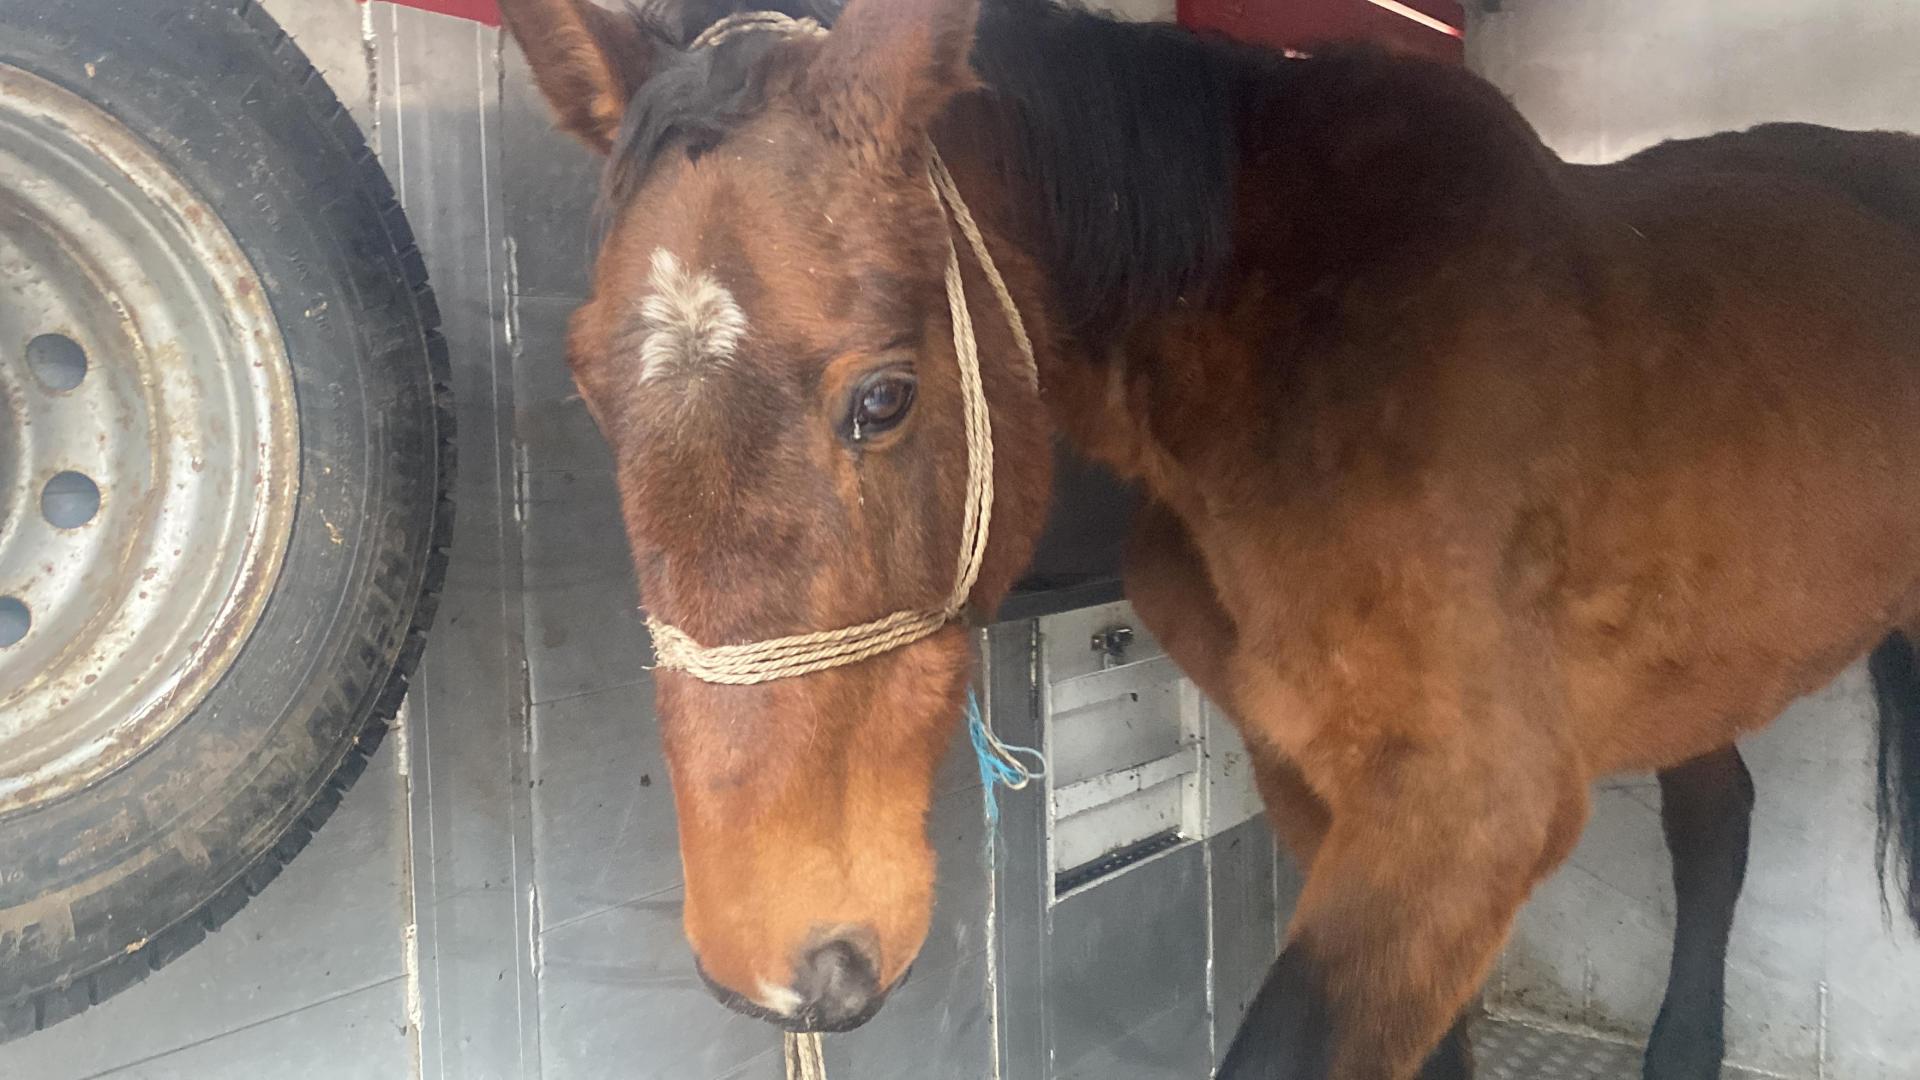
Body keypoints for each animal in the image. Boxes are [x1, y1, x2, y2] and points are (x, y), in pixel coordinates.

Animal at [497, 0, 1920, 1076]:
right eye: (585, 386)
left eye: (884, 398)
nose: (774, 960)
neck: (1293, 359)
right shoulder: (1312, 779)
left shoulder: (1469, 813)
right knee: (1715, 820)